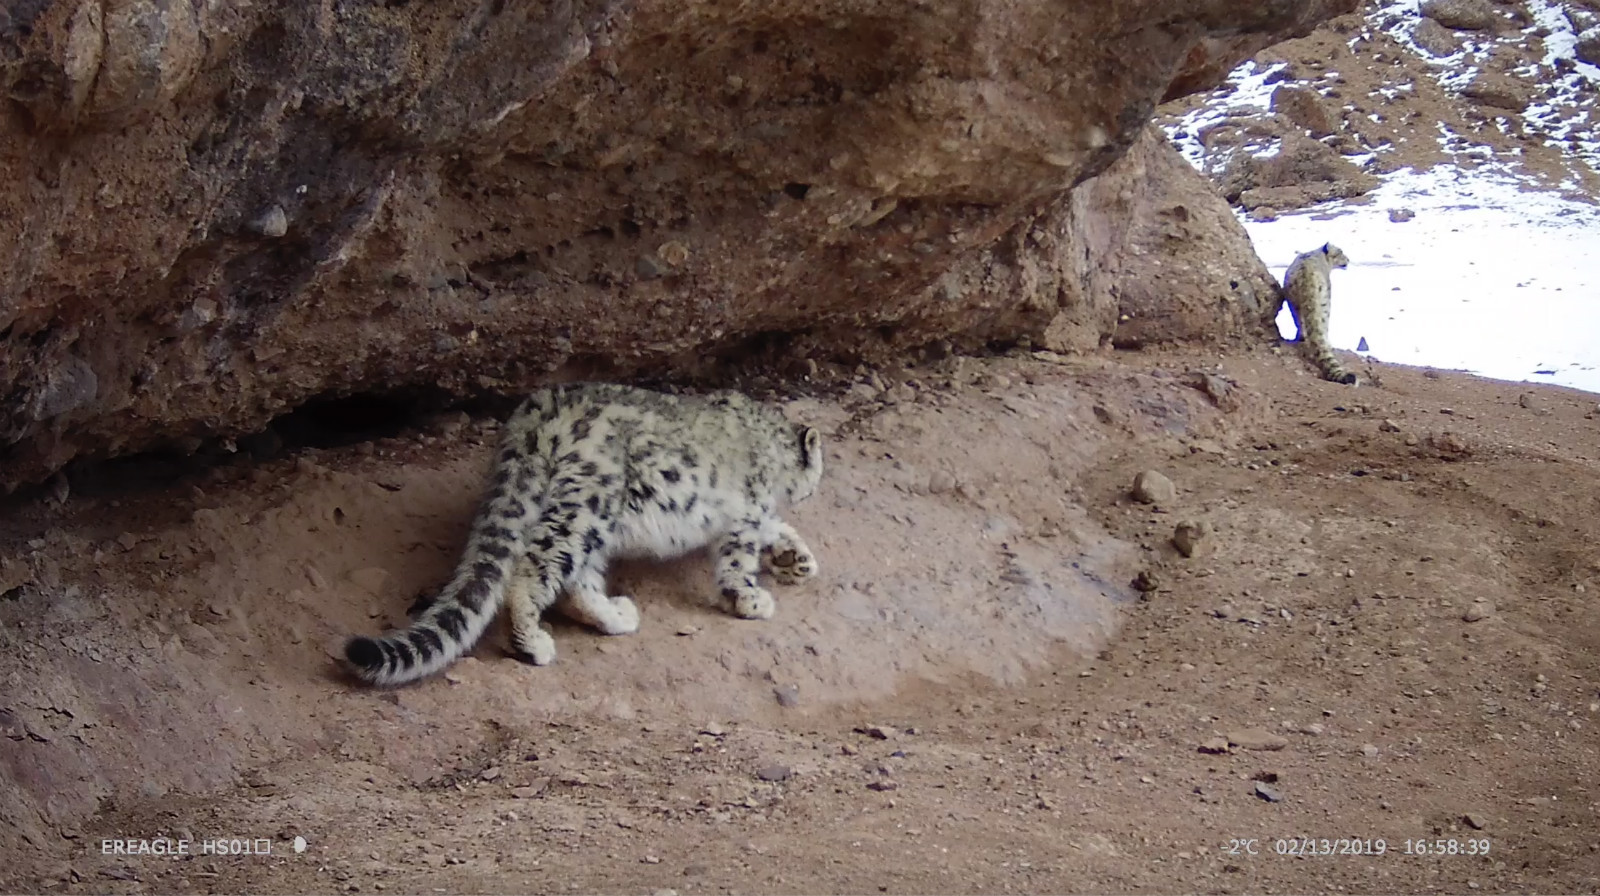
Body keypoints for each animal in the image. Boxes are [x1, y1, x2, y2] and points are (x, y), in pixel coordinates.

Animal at [340, 384, 825, 684]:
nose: (814, 487)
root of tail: (536, 413)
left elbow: (775, 526)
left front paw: (797, 558)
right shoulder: (745, 514)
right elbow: (739, 558)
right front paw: (752, 598)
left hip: (595, 519)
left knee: (577, 580)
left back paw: (616, 615)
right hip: (590, 501)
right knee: (534, 568)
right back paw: (533, 642)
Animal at [1273, 241, 1350, 385]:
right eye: (1340, 252)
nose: (1348, 260)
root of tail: (1306, 277)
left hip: (1293, 301)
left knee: (1299, 320)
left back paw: (1301, 337)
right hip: (1323, 302)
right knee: (1322, 322)